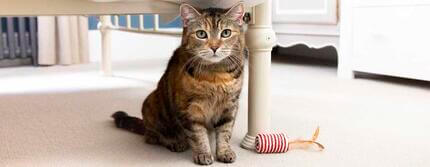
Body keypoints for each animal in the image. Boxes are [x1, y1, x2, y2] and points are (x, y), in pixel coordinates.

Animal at [111, 2, 245, 166]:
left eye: (226, 33)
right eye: (201, 34)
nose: (214, 47)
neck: (215, 75)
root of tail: (144, 124)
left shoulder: (230, 105)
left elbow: (225, 132)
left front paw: (224, 152)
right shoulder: (189, 108)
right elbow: (198, 135)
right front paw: (203, 154)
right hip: (151, 104)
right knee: (153, 137)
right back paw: (175, 142)